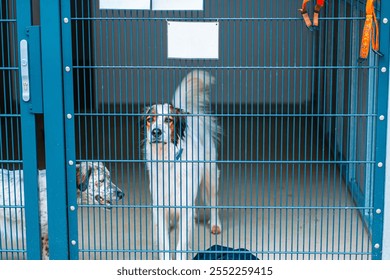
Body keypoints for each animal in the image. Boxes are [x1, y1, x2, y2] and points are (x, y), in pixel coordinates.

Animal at [144, 70, 222, 260]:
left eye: (168, 120)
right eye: (150, 119)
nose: (155, 132)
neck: (167, 159)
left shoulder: (186, 206)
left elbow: (181, 244)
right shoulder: (160, 206)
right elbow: (164, 242)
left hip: (210, 176)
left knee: (214, 201)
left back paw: (215, 224)